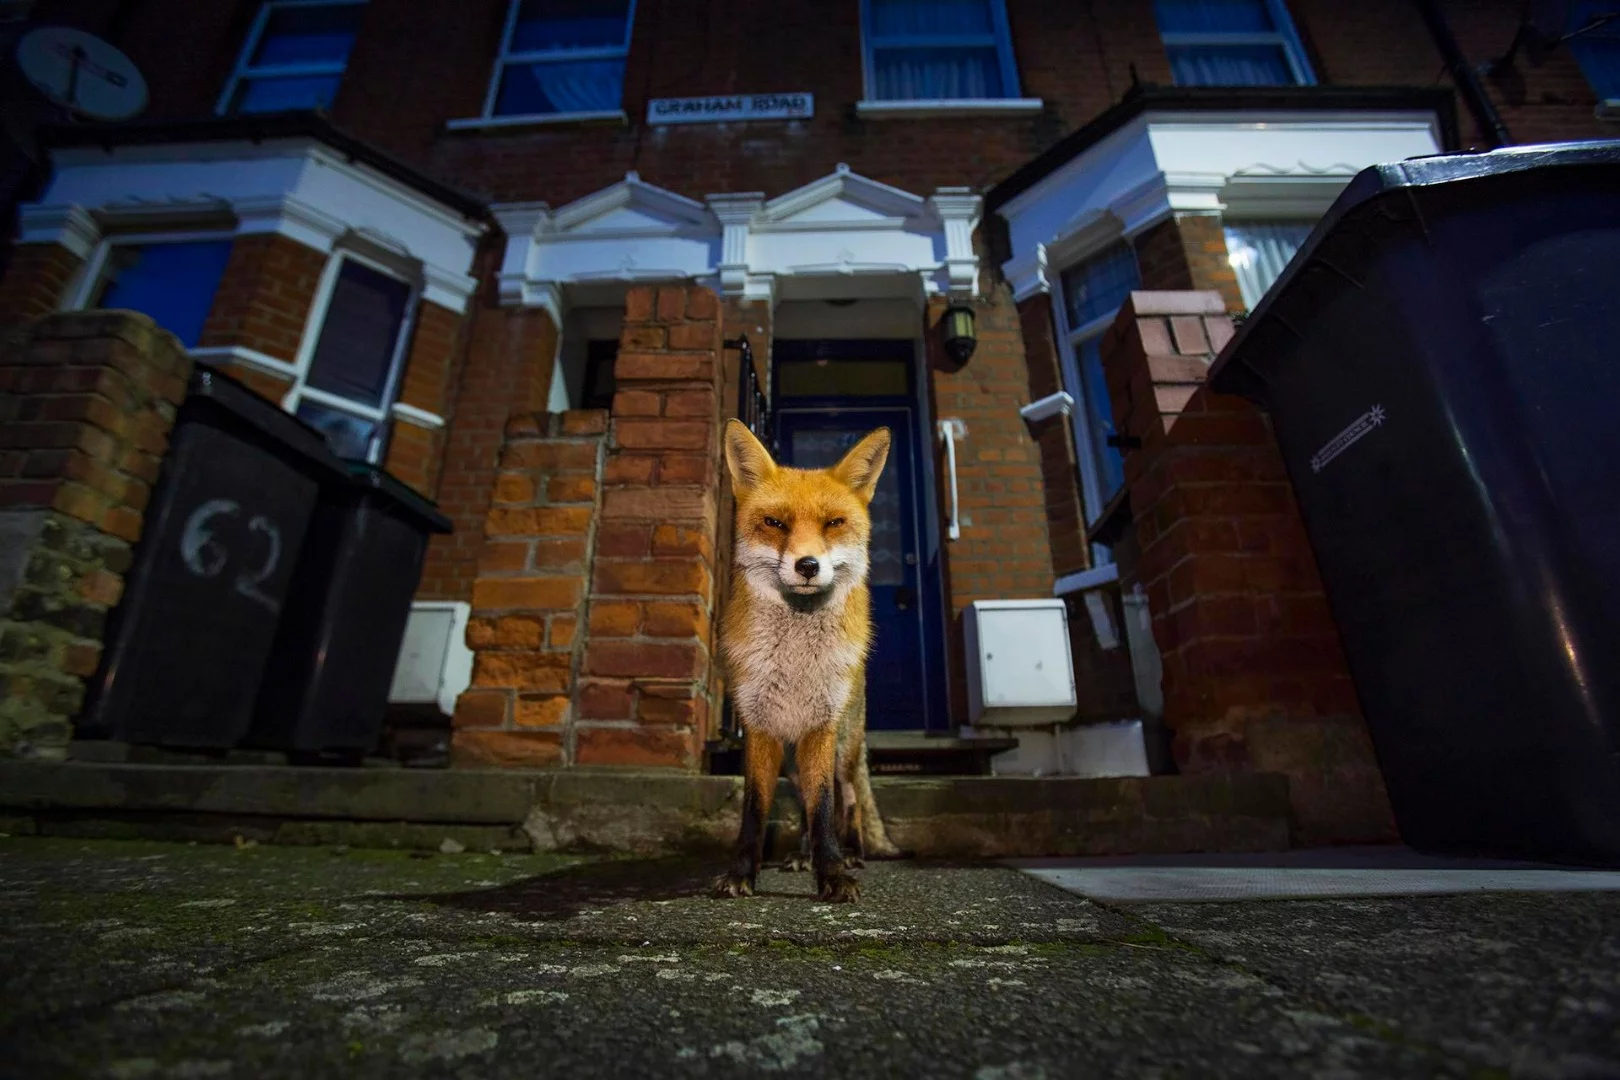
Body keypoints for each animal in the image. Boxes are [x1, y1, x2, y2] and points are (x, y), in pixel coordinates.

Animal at [712, 418, 901, 904]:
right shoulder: (760, 730)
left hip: (843, 750)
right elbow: (756, 810)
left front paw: (833, 873)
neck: (796, 663)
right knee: (803, 805)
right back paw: (800, 854)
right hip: (792, 763)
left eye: (834, 523)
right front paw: (742, 872)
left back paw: (853, 853)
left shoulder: (821, 727)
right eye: (774, 523)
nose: (808, 565)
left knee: (848, 800)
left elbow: (825, 809)